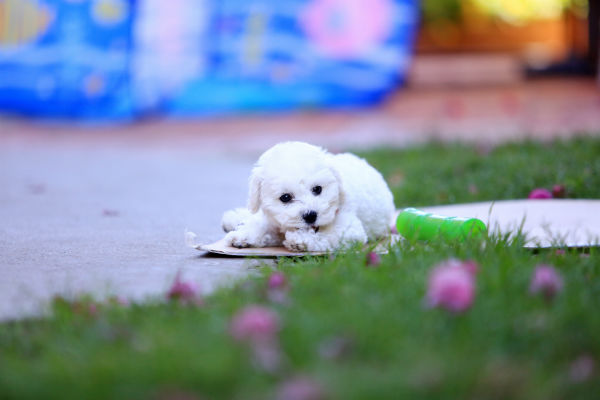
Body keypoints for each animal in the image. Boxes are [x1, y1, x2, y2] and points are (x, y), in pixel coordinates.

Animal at [220, 142, 394, 252]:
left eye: (317, 189)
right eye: (285, 197)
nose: (311, 215)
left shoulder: (350, 229)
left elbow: (327, 235)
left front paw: (301, 240)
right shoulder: (273, 220)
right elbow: (260, 224)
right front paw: (244, 235)